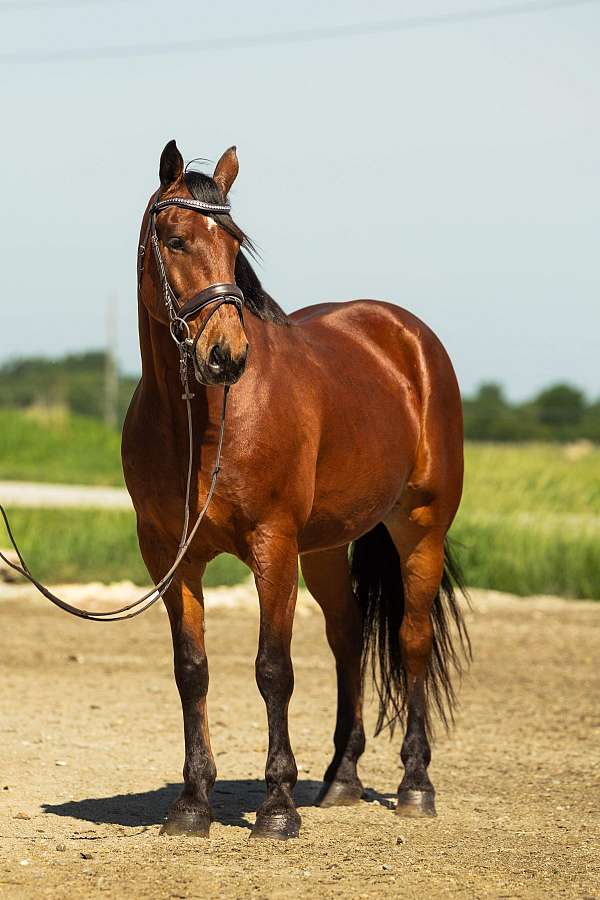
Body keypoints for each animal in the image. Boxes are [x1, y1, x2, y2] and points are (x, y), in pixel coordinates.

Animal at [122, 139, 470, 840]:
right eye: (174, 240)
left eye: (235, 245)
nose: (226, 355)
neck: (200, 422)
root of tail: (409, 338)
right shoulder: (170, 557)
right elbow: (191, 670)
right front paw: (191, 804)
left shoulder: (272, 544)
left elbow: (273, 669)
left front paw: (277, 807)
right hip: (328, 548)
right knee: (348, 638)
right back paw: (341, 779)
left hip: (419, 527)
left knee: (412, 638)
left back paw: (416, 785)